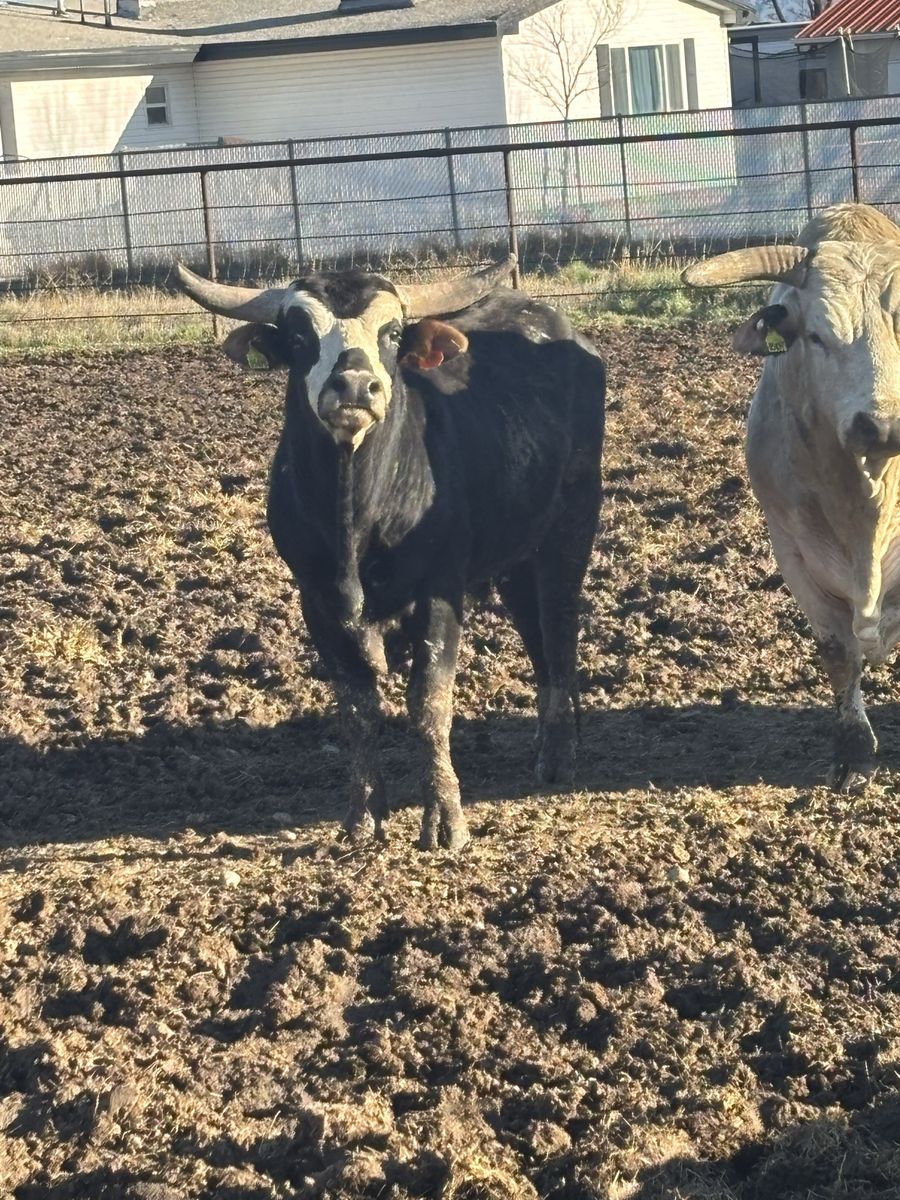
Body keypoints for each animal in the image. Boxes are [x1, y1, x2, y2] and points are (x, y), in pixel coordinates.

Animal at [176, 259, 605, 849]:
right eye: (298, 335)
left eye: (394, 332)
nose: (356, 384)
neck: (357, 513)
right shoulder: (317, 602)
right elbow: (358, 710)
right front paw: (363, 815)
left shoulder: (440, 593)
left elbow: (429, 702)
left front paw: (445, 818)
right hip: (516, 554)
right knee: (534, 630)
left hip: (571, 525)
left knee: (559, 628)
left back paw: (560, 755)